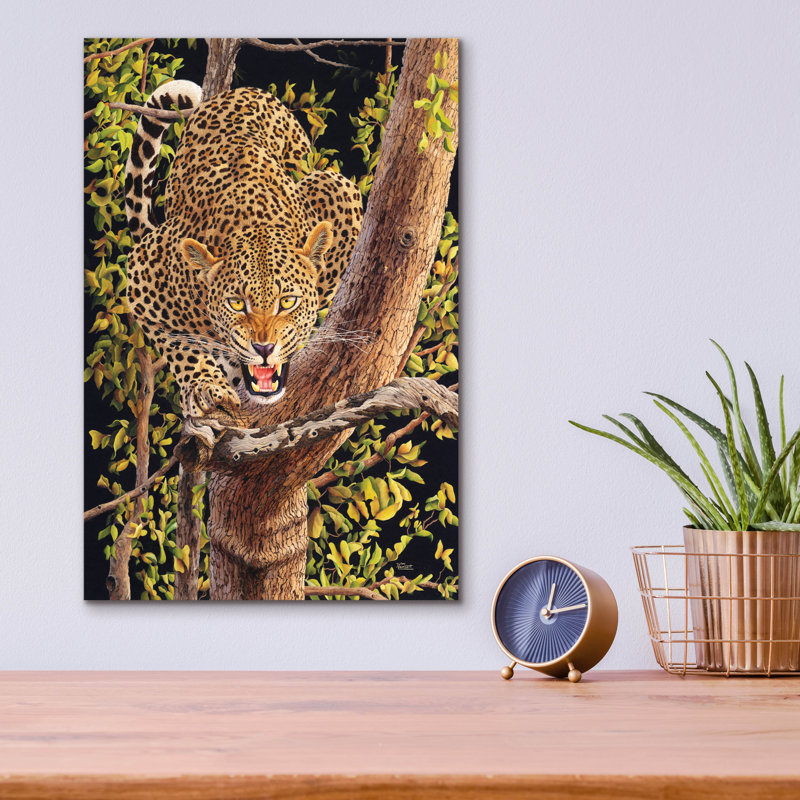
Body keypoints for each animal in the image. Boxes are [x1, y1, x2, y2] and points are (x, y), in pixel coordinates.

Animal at [124, 79, 363, 426]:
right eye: (236, 303)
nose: (264, 348)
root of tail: (243, 91)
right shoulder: (143, 272)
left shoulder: (339, 192)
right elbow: (179, 345)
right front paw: (205, 387)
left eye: (287, 302)